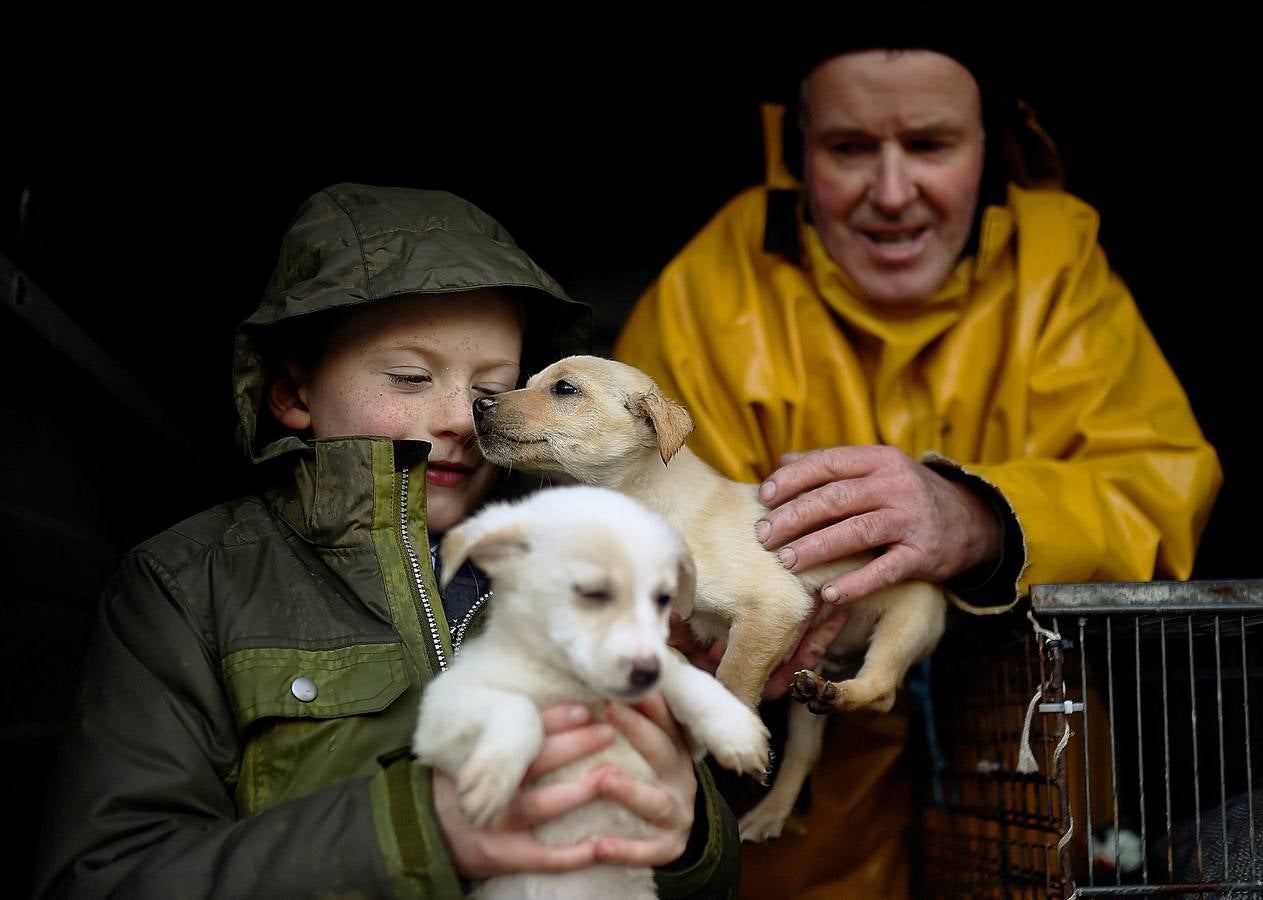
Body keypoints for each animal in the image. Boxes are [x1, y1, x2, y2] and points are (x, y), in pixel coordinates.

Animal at [414, 487, 767, 893]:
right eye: (593, 594)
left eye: (663, 599)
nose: (647, 673)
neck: (578, 688)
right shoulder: (439, 717)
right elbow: (518, 709)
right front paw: (493, 776)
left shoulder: (688, 743)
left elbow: (686, 676)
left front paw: (734, 728)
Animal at [474, 353, 949, 843]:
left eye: (565, 389)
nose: (479, 404)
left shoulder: (774, 606)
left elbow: (733, 680)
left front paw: (735, 738)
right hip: (810, 693)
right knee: (804, 752)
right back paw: (775, 801)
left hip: (907, 621)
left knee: (882, 689)